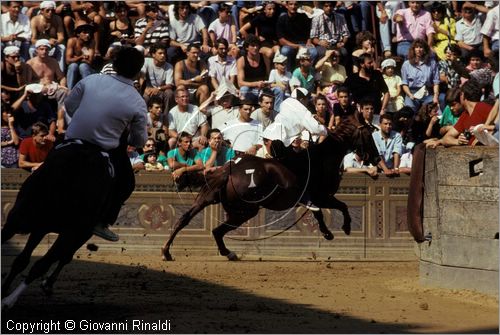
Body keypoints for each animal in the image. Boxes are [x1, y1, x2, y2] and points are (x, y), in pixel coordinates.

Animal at [162, 114, 380, 262]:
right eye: (368, 135)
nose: (377, 158)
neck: (323, 157)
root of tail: (229, 171)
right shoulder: (322, 196)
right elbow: (340, 207)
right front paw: (342, 228)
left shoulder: (316, 198)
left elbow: (321, 212)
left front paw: (330, 231)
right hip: (246, 210)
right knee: (217, 230)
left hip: (210, 199)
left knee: (191, 221)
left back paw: (170, 252)